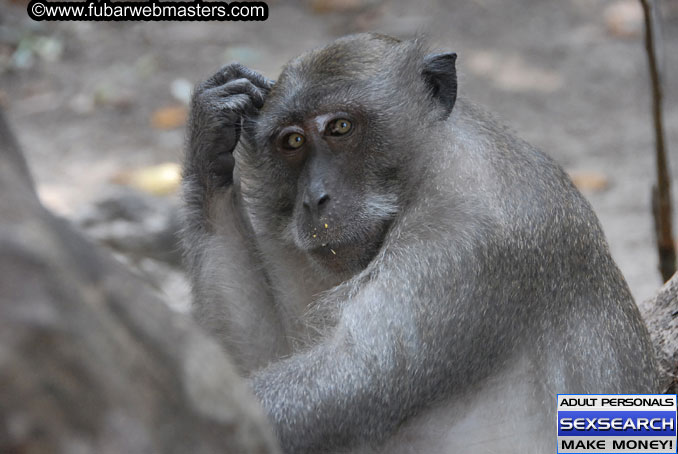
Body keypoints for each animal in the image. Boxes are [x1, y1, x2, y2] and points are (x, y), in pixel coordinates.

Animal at [181, 33, 660, 452]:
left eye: (340, 127)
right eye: (293, 141)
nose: (314, 199)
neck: (427, 168)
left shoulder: (463, 242)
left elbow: (348, 383)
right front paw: (210, 136)